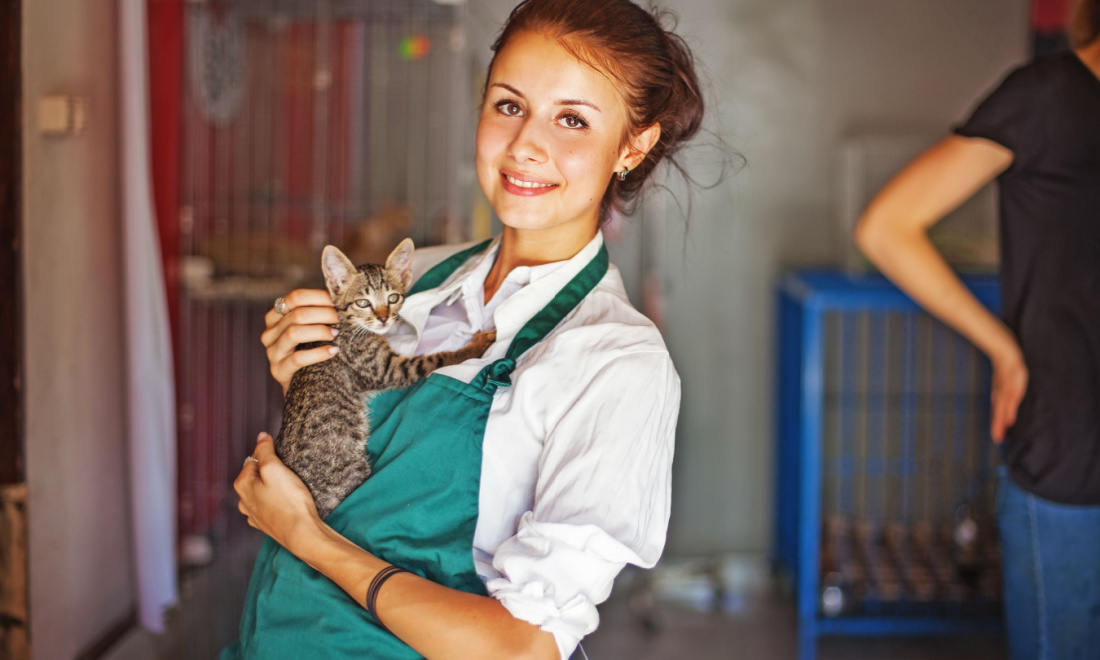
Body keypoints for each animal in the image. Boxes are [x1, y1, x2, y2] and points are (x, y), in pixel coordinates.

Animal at [277, 239, 497, 519]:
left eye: (393, 298)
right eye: (363, 302)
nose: (383, 318)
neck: (350, 326)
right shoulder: (385, 369)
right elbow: (435, 359)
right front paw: (474, 347)